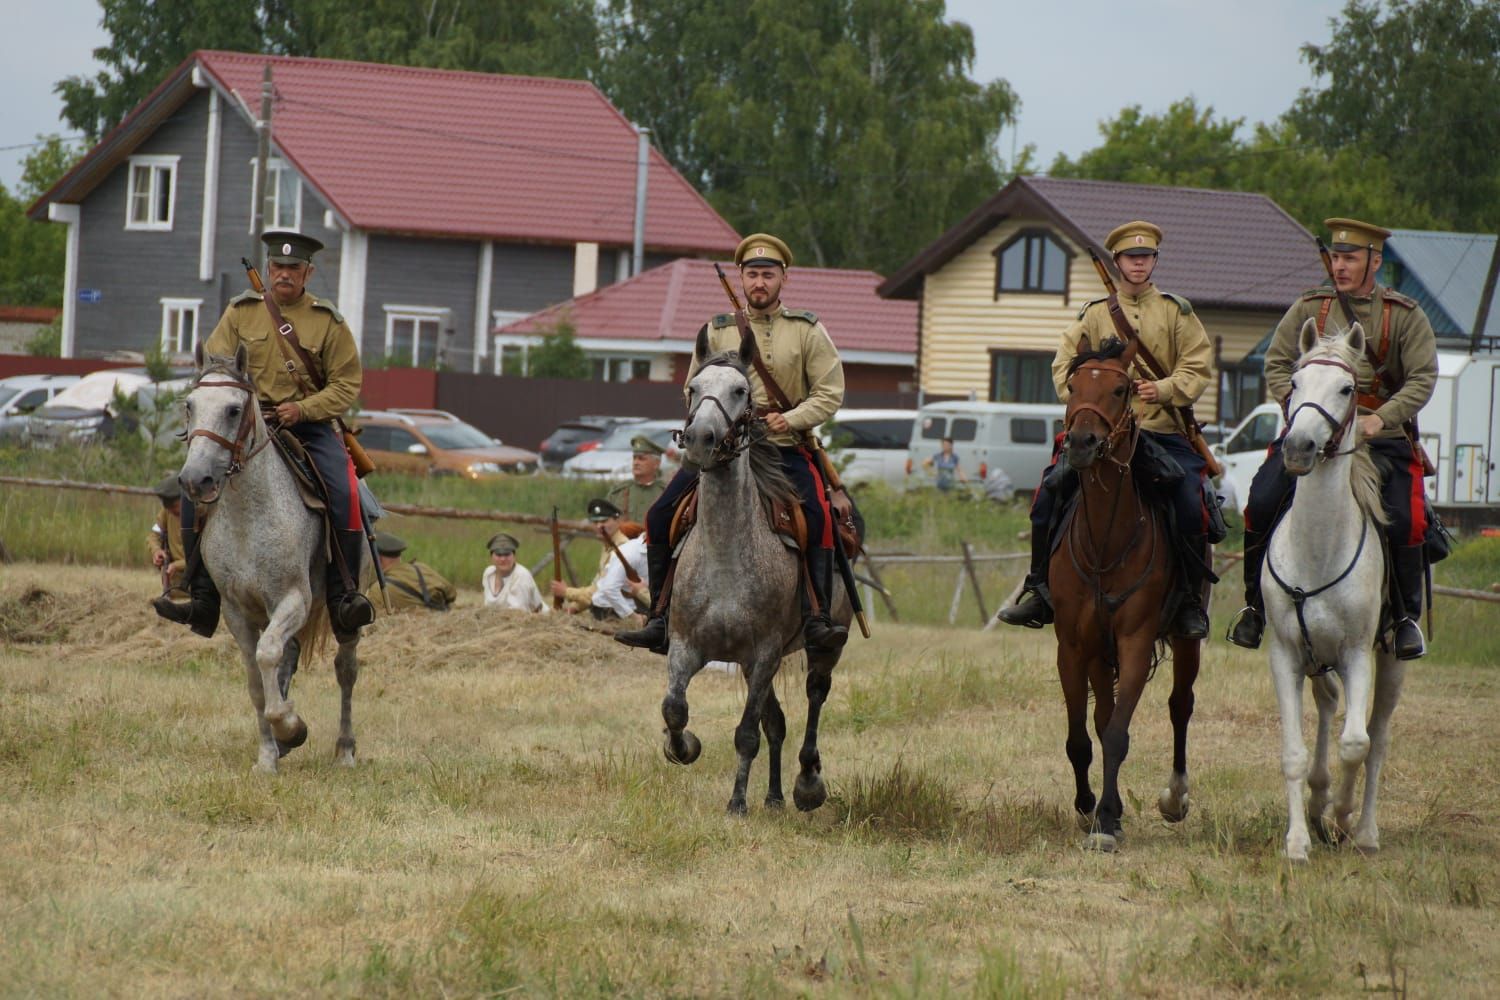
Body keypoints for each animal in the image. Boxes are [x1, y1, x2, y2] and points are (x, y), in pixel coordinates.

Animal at [174, 347, 360, 779]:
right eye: (190, 405)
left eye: (233, 409)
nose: (195, 480)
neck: (249, 518)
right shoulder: (236, 611)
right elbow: (257, 679)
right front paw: (268, 755)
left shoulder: (292, 600)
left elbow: (268, 654)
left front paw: (291, 726)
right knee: (288, 659)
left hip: (343, 616)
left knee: (345, 668)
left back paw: (344, 750)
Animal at [660, 332, 852, 815]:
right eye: (694, 387)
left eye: (740, 390)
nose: (700, 439)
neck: (726, 556)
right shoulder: (686, 648)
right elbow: (674, 709)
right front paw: (683, 747)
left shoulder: (764, 654)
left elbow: (745, 734)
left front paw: (736, 803)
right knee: (777, 723)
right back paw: (775, 796)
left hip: (822, 648)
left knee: (815, 696)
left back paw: (806, 784)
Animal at [1050, 335, 1200, 851]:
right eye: (1073, 385)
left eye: (1121, 389)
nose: (1081, 443)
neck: (1106, 543)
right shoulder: (1074, 647)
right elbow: (1082, 736)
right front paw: (1087, 808)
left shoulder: (1135, 641)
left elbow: (1117, 735)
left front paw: (1107, 823)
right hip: (1100, 653)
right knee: (1102, 717)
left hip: (1186, 640)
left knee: (1180, 705)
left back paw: (1175, 798)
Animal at [1266, 320, 1404, 863]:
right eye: (1295, 383)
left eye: (1347, 388)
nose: (1299, 447)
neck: (1319, 547)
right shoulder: (1285, 654)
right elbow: (1293, 752)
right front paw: (1297, 840)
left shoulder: (1358, 654)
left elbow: (1356, 744)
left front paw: (1342, 816)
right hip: (1315, 658)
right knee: (1327, 707)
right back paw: (1319, 802)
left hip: (1390, 661)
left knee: (1377, 737)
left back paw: (1362, 831)